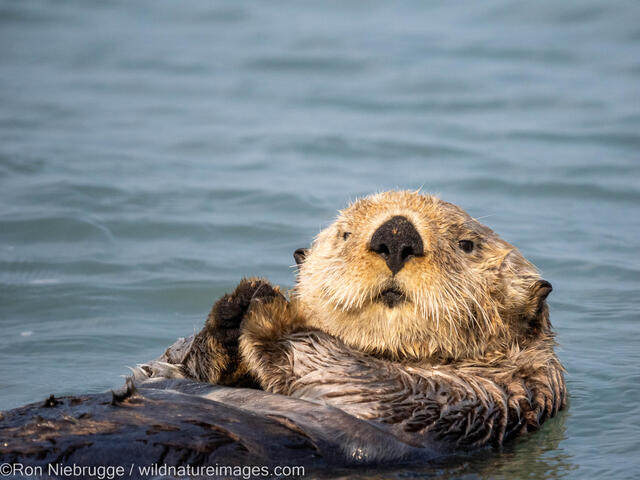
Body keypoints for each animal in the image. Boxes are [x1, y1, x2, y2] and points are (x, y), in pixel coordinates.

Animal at [136, 189, 564, 448]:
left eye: (466, 244)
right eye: (344, 234)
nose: (396, 235)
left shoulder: (455, 399)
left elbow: (348, 375)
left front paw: (275, 311)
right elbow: (162, 367)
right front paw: (238, 303)